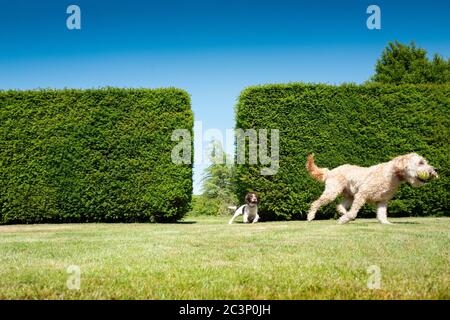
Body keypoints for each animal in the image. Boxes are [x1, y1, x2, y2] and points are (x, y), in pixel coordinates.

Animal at [306, 153, 436, 224]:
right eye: (421, 163)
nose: (435, 170)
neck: (392, 175)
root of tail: (330, 171)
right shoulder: (361, 195)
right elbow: (354, 213)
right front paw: (343, 220)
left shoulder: (382, 200)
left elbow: (382, 215)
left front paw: (387, 224)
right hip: (332, 192)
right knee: (315, 203)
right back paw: (310, 217)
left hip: (349, 196)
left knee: (339, 205)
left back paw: (344, 214)